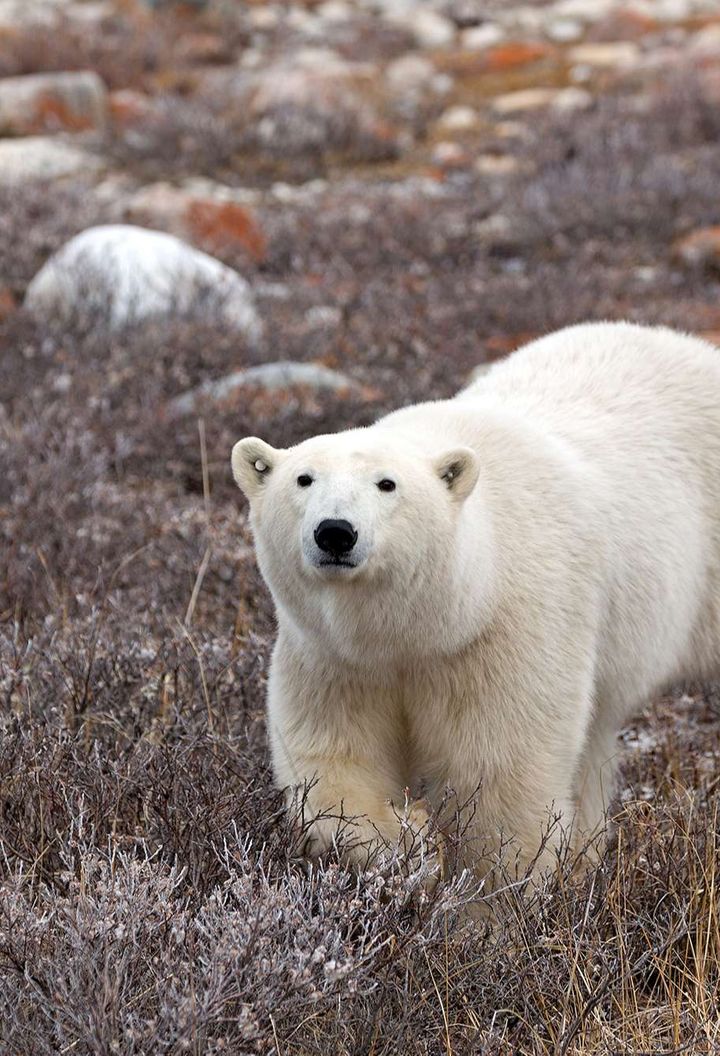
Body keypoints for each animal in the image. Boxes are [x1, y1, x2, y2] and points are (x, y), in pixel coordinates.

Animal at [230, 323, 717, 882]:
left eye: (386, 483)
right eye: (303, 478)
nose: (335, 532)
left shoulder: (503, 637)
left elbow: (501, 775)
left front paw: (496, 893)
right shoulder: (335, 658)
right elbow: (333, 762)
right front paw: (402, 839)